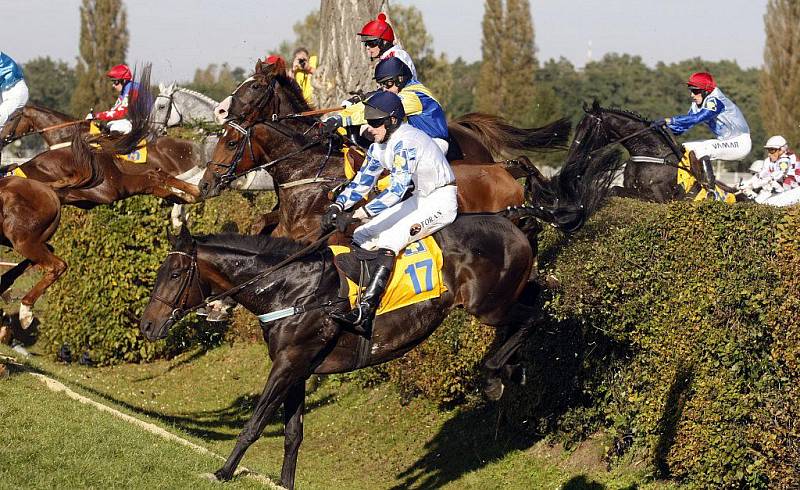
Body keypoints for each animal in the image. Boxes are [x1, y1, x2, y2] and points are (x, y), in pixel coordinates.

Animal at [139, 139, 624, 490]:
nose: (146, 324)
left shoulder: (290, 362)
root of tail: (513, 214)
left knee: (531, 317)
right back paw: (512, 368)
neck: (292, 286)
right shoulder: (299, 366)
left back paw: (493, 375)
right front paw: (283, 482)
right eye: (162, 270)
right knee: (536, 301)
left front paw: (223, 471)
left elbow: (257, 421)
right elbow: (293, 434)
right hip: (506, 293)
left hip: (487, 303)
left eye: (175, 273)